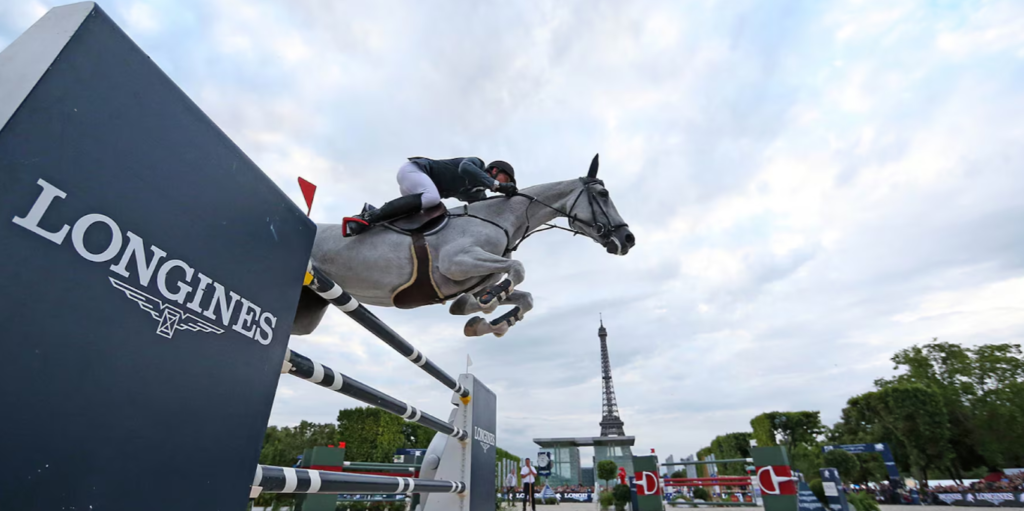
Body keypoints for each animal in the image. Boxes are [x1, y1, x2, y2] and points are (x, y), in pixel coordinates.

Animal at [292, 154, 635, 338]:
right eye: (603, 194)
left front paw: (487, 322)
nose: (628, 240)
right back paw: (360, 219)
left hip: (310, 309)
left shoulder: (477, 276)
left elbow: (523, 297)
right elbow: (516, 271)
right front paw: (487, 304)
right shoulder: (457, 261)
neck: (503, 219)